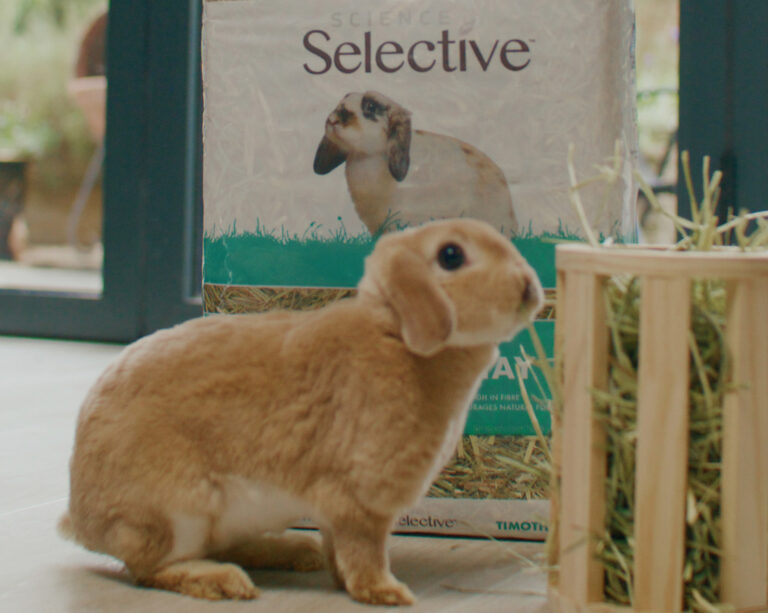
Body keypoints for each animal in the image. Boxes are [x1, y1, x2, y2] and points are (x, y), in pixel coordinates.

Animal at [59, 218, 543, 606]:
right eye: (451, 255)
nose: (530, 287)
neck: (397, 336)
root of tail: (80, 520)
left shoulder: (336, 508)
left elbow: (338, 551)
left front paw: (344, 579)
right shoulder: (359, 501)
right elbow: (364, 554)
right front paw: (387, 593)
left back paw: (291, 553)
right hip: (179, 512)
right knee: (152, 567)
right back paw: (225, 582)